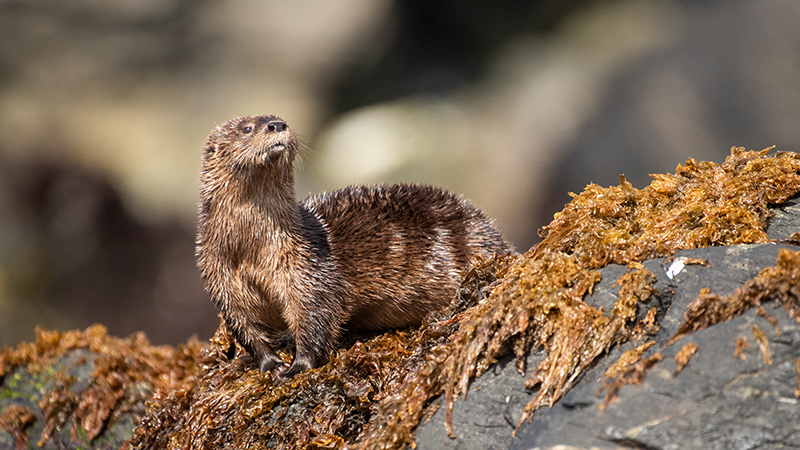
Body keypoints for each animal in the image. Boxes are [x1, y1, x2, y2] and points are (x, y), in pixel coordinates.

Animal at [196, 114, 513, 381]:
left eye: (277, 117)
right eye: (247, 128)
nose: (277, 124)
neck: (254, 250)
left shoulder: (307, 267)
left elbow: (318, 313)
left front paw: (297, 366)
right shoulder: (220, 277)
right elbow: (245, 328)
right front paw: (269, 363)